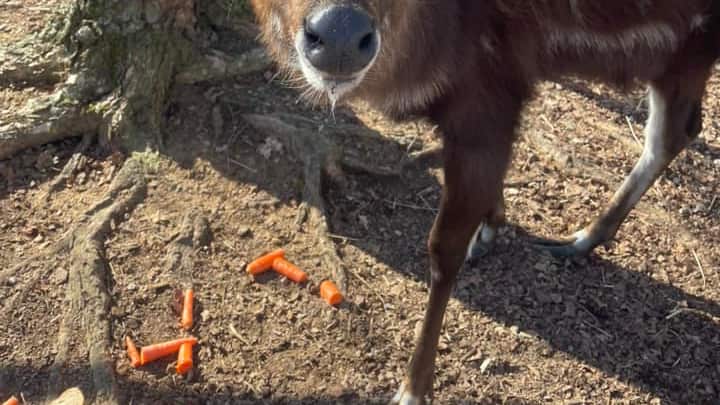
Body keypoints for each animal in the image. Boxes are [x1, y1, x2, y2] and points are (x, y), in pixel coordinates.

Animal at [249, 1, 720, 403]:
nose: (340, 34)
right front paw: (490, 229)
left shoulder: (488, 92)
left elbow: (443, 249)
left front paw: (412, 390)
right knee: (679, 130)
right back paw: (580, 239)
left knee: (675, 131)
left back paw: (579, 239)